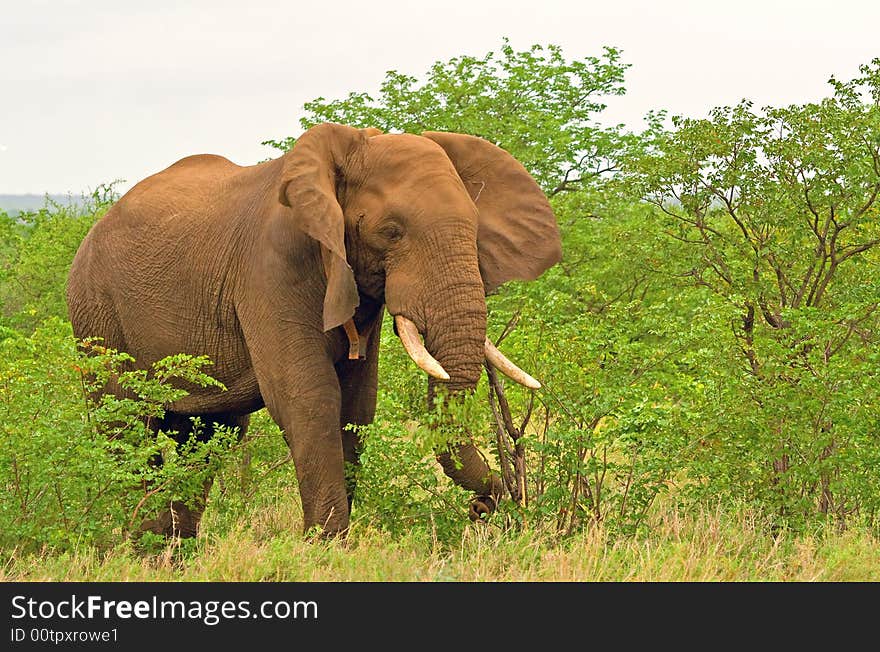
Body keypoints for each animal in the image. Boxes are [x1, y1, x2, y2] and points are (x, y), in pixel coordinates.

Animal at [65, 121, 560, 536]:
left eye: (474, 232)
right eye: (392, 232)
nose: (485, 504)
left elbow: (357, 406)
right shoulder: (269, 270)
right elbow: (310, 397)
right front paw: (325, 546)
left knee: (208, 436)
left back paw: (172, 551)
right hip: (96, 312)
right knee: (126, 425)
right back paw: (145, 546)